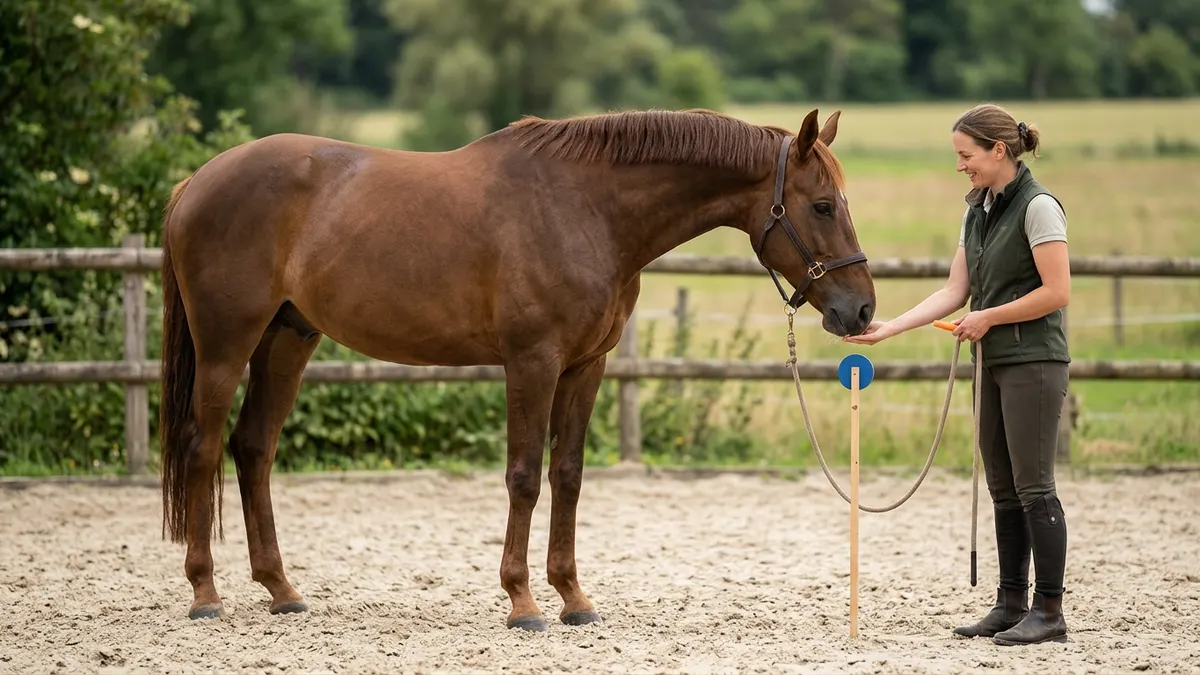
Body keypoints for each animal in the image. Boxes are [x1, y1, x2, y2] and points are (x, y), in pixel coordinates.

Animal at [157, 106, 876, 631]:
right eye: (821, 205)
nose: (861, 308)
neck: (586, 208)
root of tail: (195, 182)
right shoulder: (533, 362)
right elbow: (525, 476)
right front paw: (523, 602)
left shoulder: (586, 367)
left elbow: (569, 476)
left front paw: (574, 598)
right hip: (225, 346)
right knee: (202, 447)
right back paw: (205, 592)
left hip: (287, 339)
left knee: (253, 448)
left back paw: (281, 589)